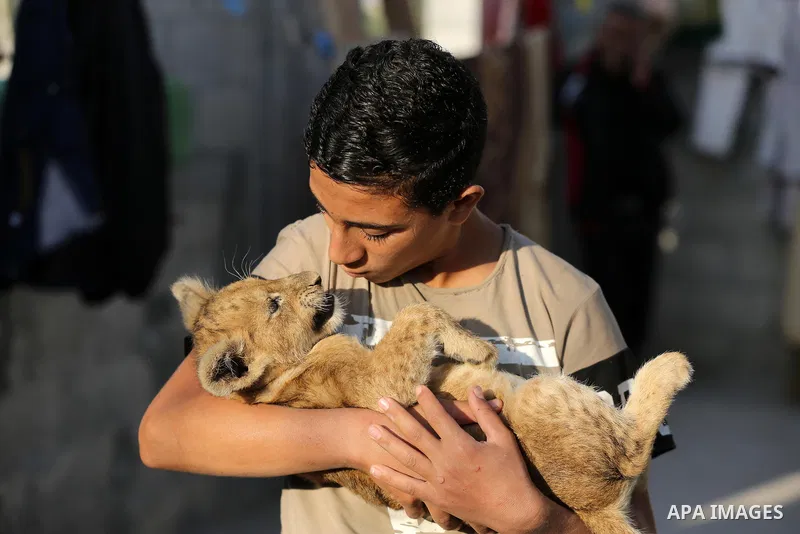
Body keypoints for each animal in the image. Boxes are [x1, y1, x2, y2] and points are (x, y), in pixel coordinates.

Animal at [171, 270, 693, 534]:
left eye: (263, 278)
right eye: (274, 304)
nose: (317, 276)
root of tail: (595, 511)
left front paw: (466, 351)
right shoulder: (378, 386)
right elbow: (417, 312)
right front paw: (477, 348)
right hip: (542, 401)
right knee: (632, 447)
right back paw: (670, 365)